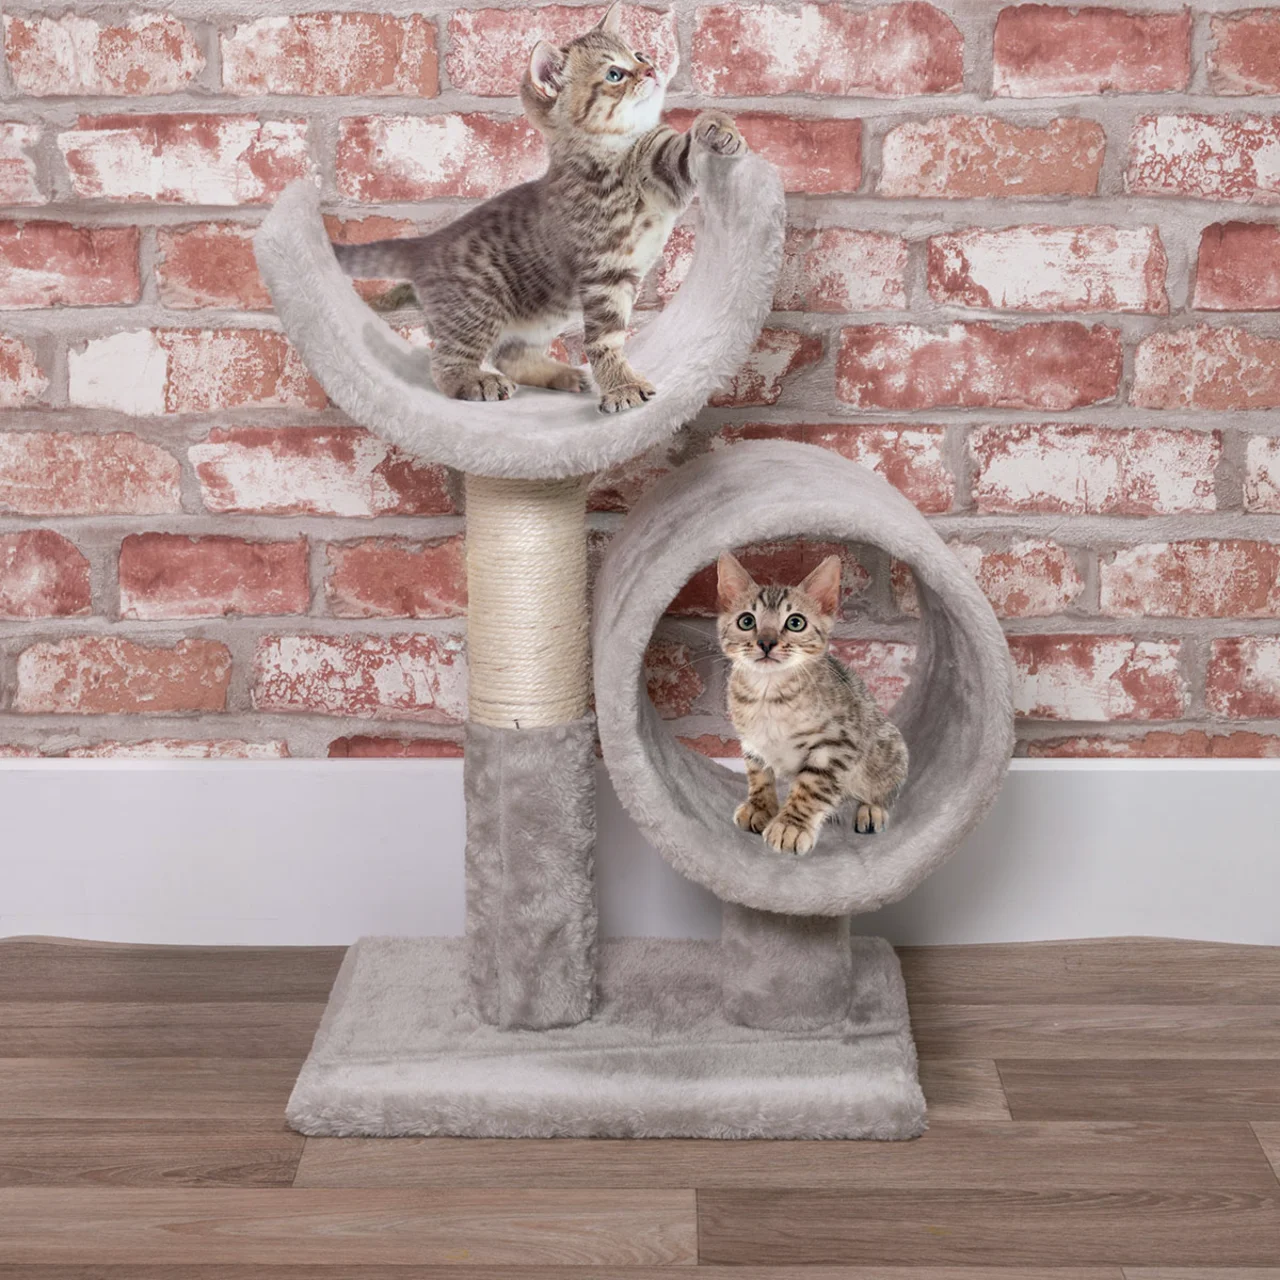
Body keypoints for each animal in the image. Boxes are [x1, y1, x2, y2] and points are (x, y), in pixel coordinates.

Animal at [331, 2, 745, 414]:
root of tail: (426, 244)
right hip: (479, 307)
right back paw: (473, 379)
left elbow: (682, 149)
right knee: (446, 364)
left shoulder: (661, 174)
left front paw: (719, 127)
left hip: (542, 315)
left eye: (639, 55)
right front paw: (621, 384)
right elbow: (605, 340)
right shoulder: (603, 273)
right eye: (614, 73)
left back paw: (561, 373)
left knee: (510, 356)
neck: (613, 154)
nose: (652, 69)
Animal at [717, 552, 910, 857]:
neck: (769, 695)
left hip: (888, 749)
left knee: (883, 790)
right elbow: (758, 775)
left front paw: (791, 826)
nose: (766, 642)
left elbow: (811, 786)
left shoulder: (837, 744)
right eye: (746, 621)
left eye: (795, 622)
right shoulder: (751, 741)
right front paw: (761, 807)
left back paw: (871, 810)